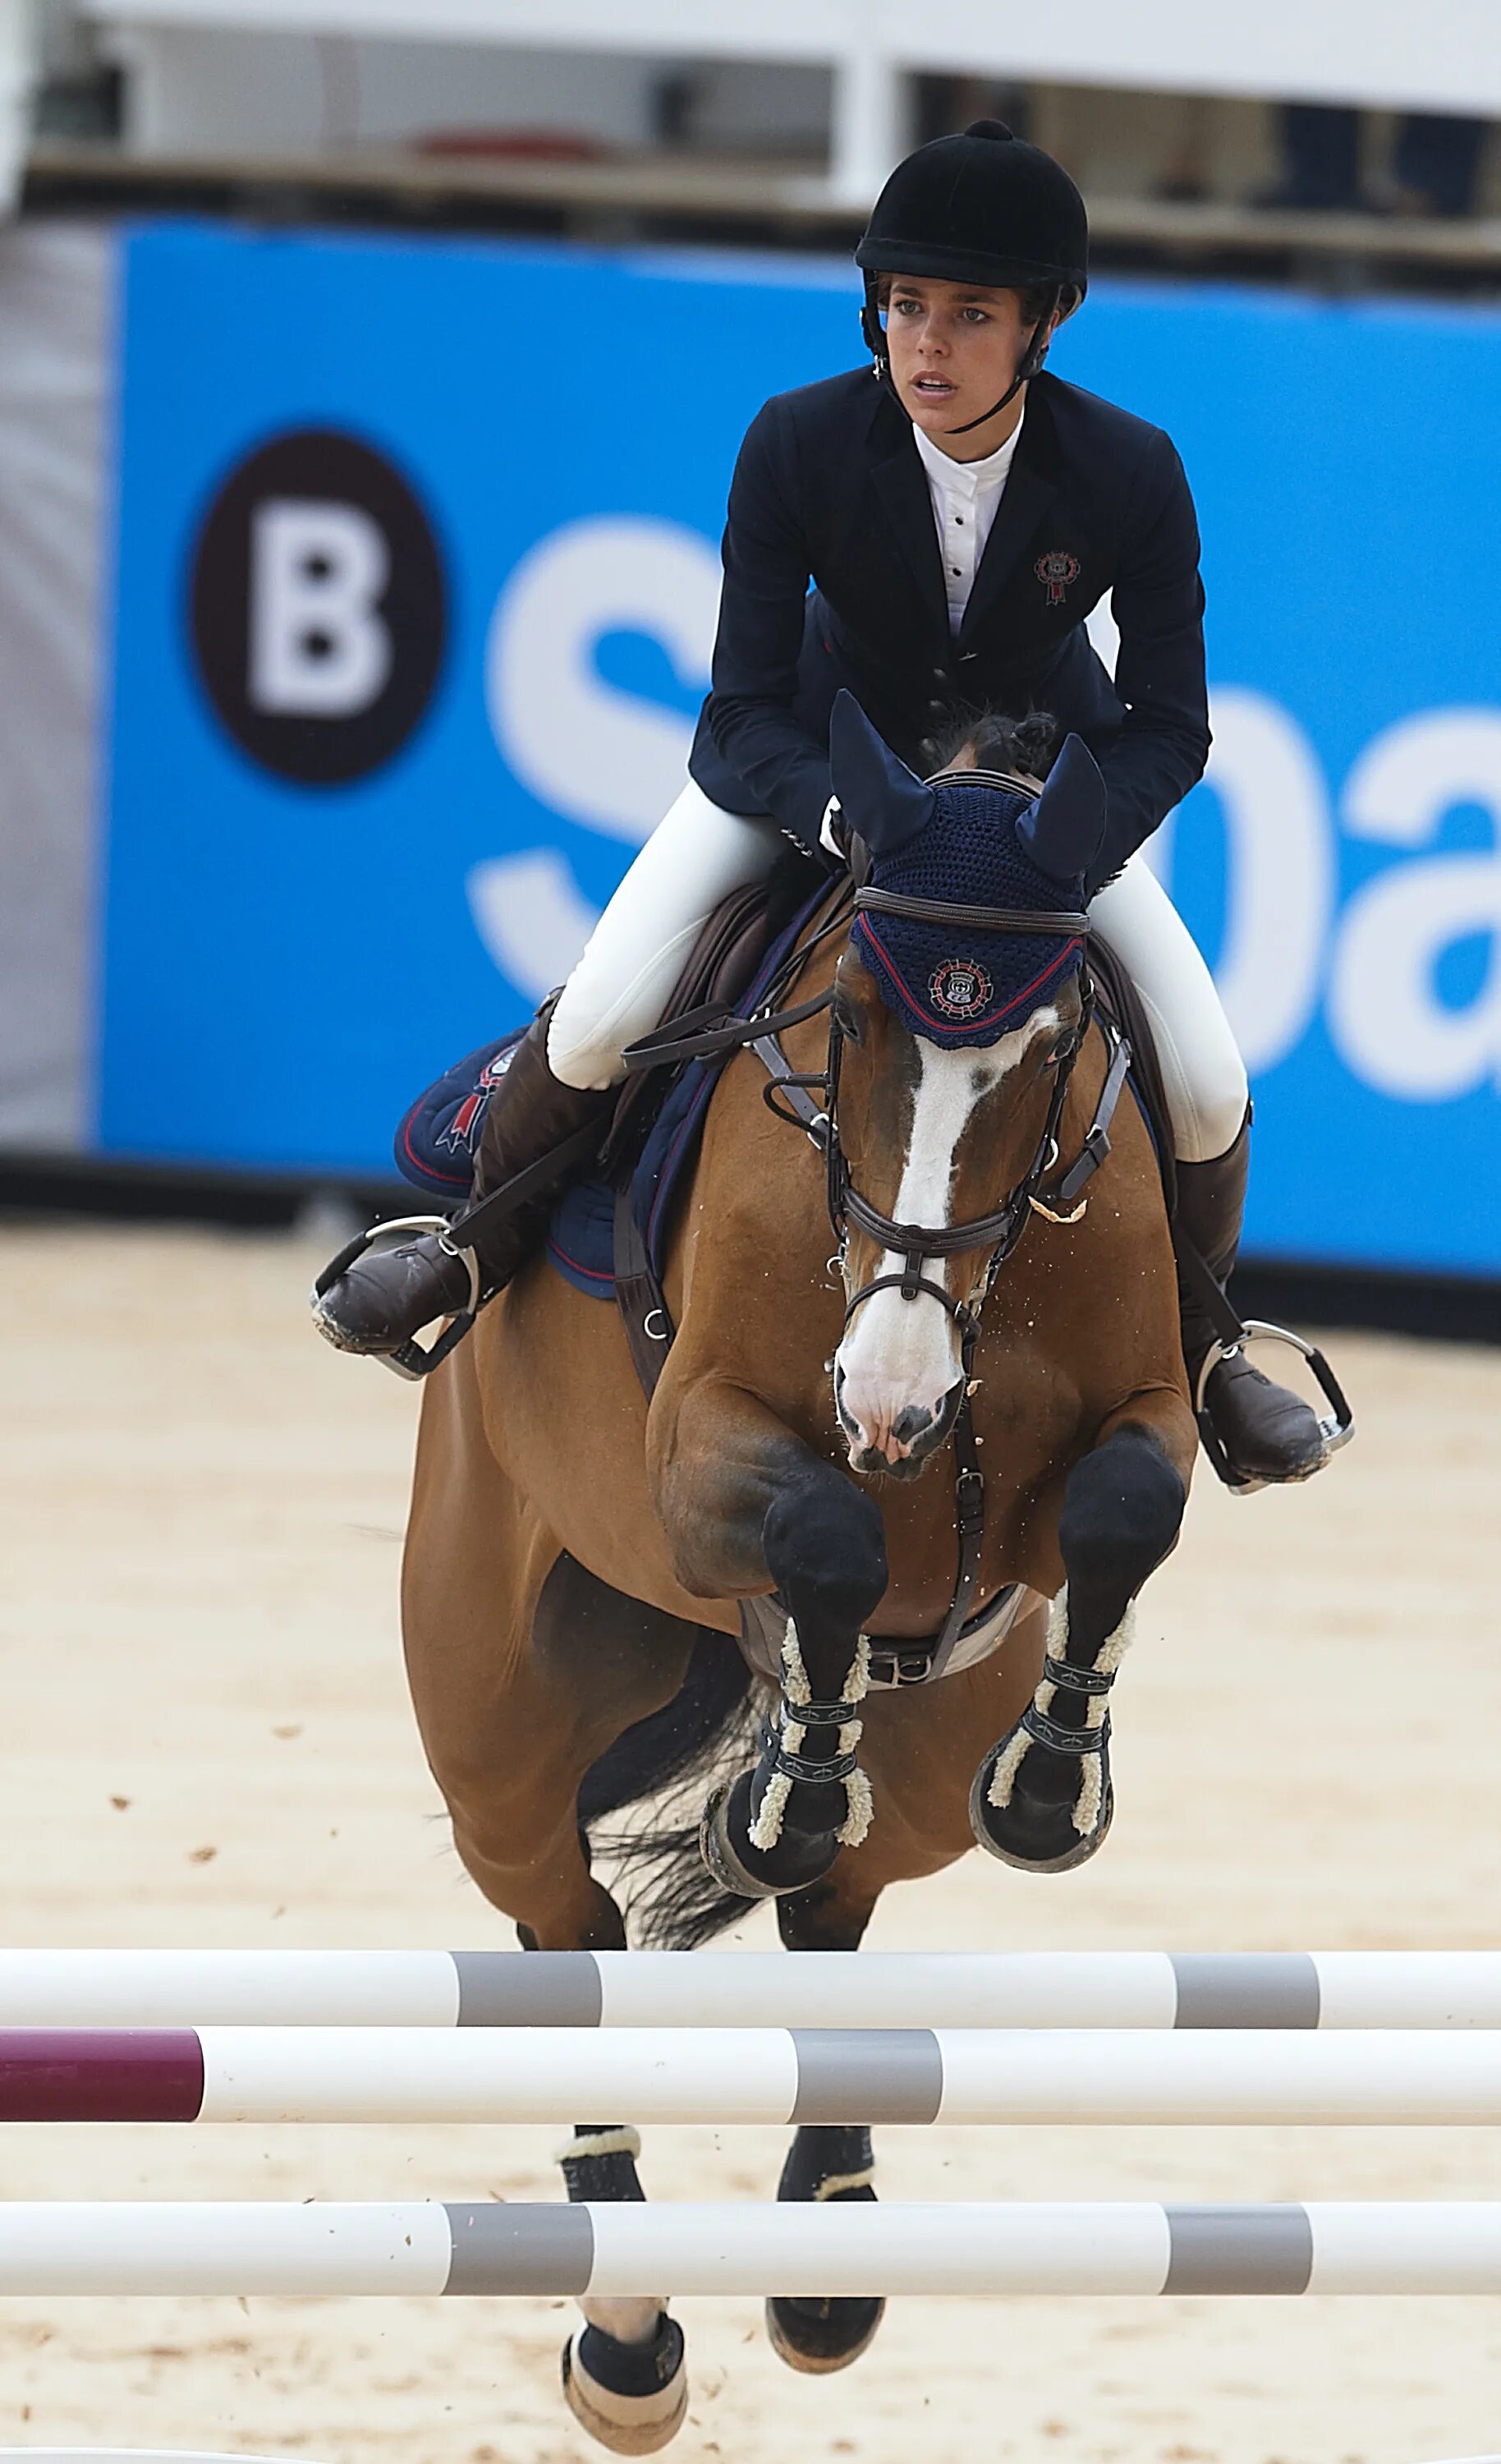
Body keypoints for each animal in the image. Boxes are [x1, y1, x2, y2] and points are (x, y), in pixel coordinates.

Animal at [399, 695, 1192, 2444]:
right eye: (858, 1031)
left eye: (1050, 1051)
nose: (890, 1402)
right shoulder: (696, 1444)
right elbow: (822, 1534)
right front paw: (782, 1788)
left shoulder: (1134, 1421)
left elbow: (1121, 1511)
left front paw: (1054, 1785)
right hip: (494, 1716)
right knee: (565, 1928)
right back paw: (628, 2333)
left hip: (927, 1753)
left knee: (836, 1903)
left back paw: (825, 2243)